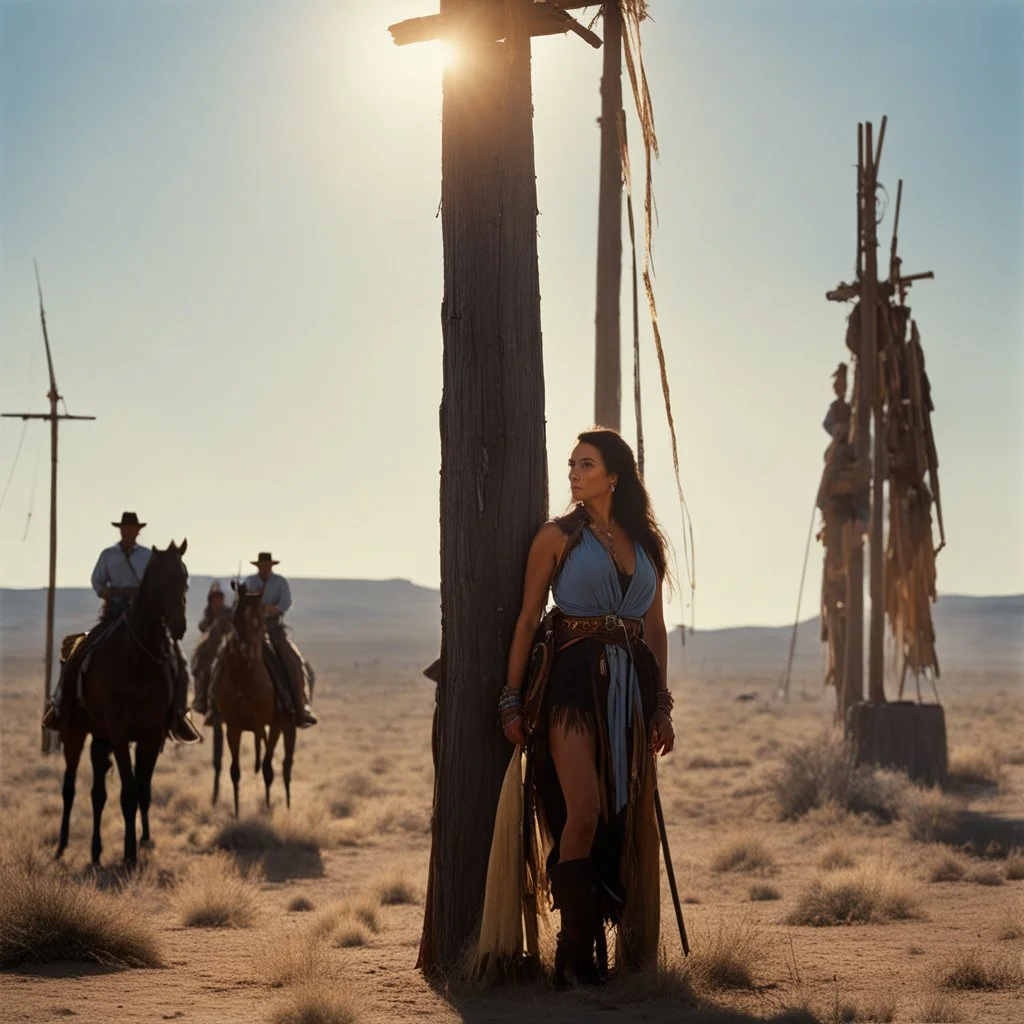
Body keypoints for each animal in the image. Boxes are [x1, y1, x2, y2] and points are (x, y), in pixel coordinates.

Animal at [55, 540, 189, 868]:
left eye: (185, 577)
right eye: (160, 578)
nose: (178, 625)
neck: (138, 660)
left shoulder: (151, 735)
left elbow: (144, 791)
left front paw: (145, 842)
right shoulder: (119, 733)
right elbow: (128, 793)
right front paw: (129, 854)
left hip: (100, 739)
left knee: (97, 793)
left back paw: (96, 851)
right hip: (74, 732)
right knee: (70, 787)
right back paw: (62, 845)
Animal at [211, 585, 296, 815]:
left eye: (260, 617)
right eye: (235, 616)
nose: (245, 648)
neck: (245, 679)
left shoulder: (272, 724)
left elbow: (267, 768)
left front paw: (267, 810)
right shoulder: (233, 726)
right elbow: (235, 770)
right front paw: (237, 813)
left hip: (287, 726)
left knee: (286, 765)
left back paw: (287, 806)